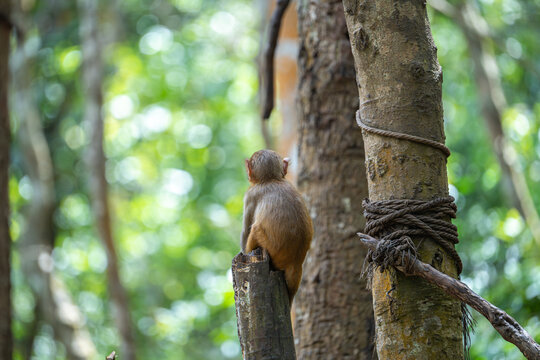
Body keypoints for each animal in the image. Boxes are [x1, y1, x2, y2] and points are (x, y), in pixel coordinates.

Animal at [240, 149, 312, 304]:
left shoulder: (250, 194)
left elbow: (245, 233)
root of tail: (296, 262)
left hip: (272, 249)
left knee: (255, 228)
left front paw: (244, 252)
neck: (272, 179)